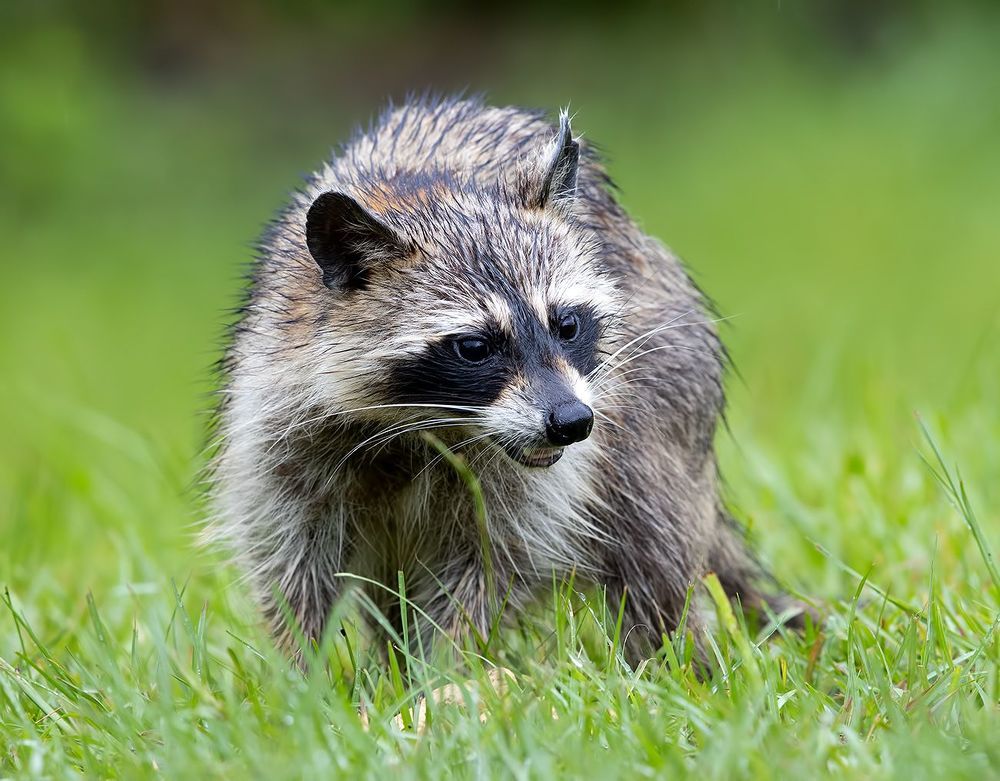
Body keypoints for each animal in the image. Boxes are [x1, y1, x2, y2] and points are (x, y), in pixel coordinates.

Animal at [208, 95, 794, 662]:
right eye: (474, 348)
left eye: (566, 325)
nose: (572, 421)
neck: (423, 426)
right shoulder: (280, 423)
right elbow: (286, 561)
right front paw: (307, 676)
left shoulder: (540, 482)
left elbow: (495, 563)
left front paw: (446, 670)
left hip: (667, 386)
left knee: (654, 530)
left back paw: (679, 659)